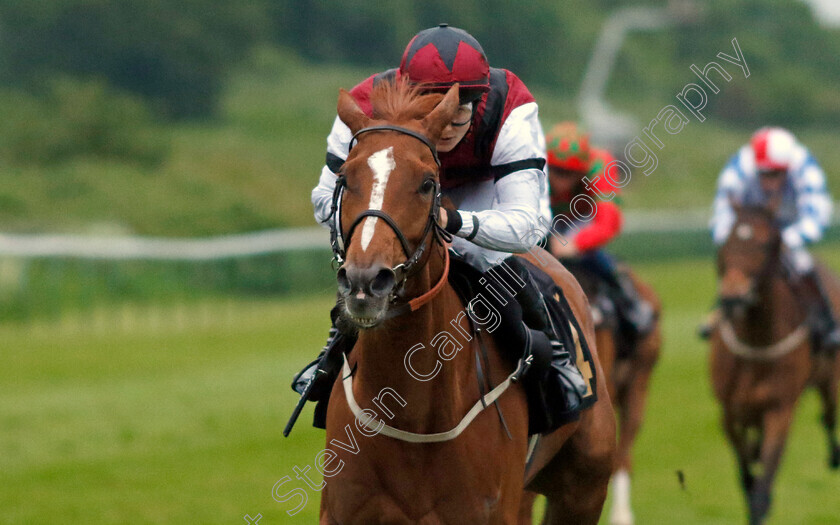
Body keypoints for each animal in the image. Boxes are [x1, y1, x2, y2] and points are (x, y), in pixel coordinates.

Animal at [322, 80, 616, 520]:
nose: (365, 280)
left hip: (584, 488)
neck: (411, 411)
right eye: (345, 177)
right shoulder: (341, 512)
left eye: (428, 182)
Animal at [708, 205, 840, 524]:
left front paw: (760, 505)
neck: (756, 343)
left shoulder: (780, 409)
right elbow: (745, 471)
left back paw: (834, 455)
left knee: (829, 416)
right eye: (727, 241)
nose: (733, 297)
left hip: (830, 378)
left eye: (765, 244)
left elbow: (763, 484)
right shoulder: (728, 411)